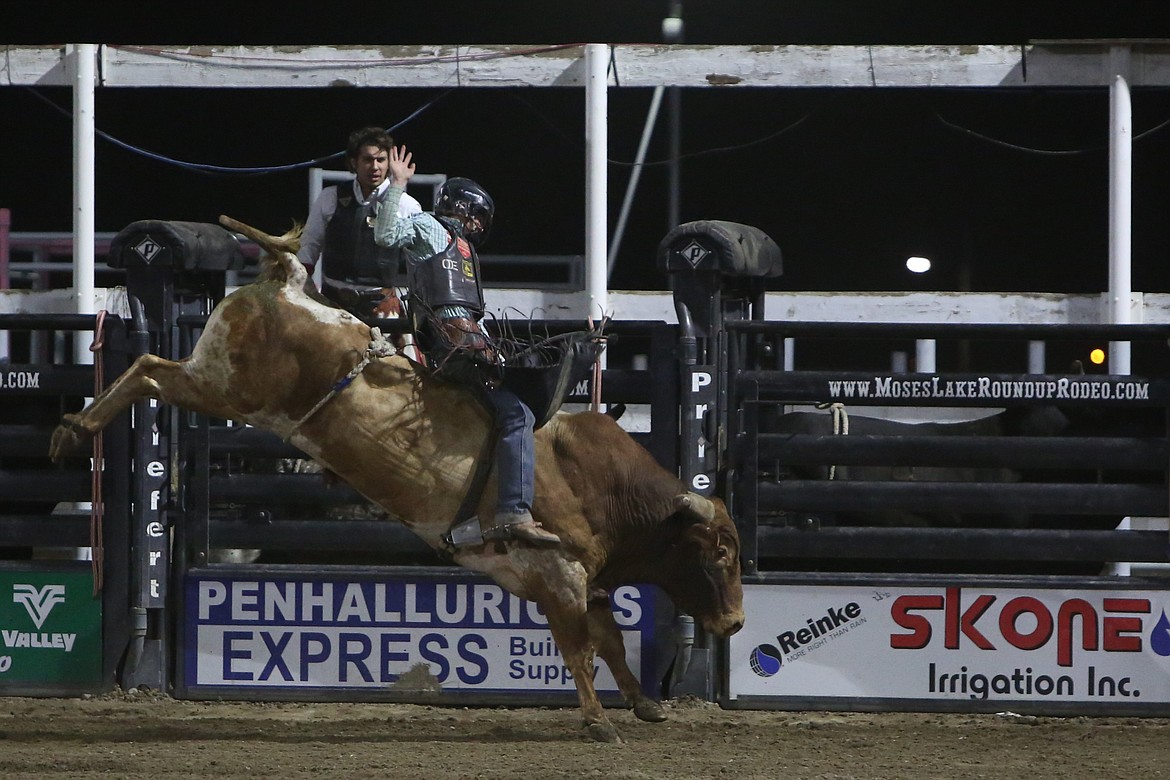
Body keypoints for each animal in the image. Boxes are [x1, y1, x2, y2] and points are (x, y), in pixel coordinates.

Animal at [50, 216, 744, 748]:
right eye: (718, 552)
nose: (736, 623)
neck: (598, 485)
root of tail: (288, 280)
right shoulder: (556, 574)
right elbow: (580, 647)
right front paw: (601, 723)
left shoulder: (583, 581)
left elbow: (613, 641)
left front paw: (645, 704)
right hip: (223, 384)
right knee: (147, 365)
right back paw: (74, 428)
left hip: (220, 383)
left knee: (149, 367)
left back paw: (72, 428)